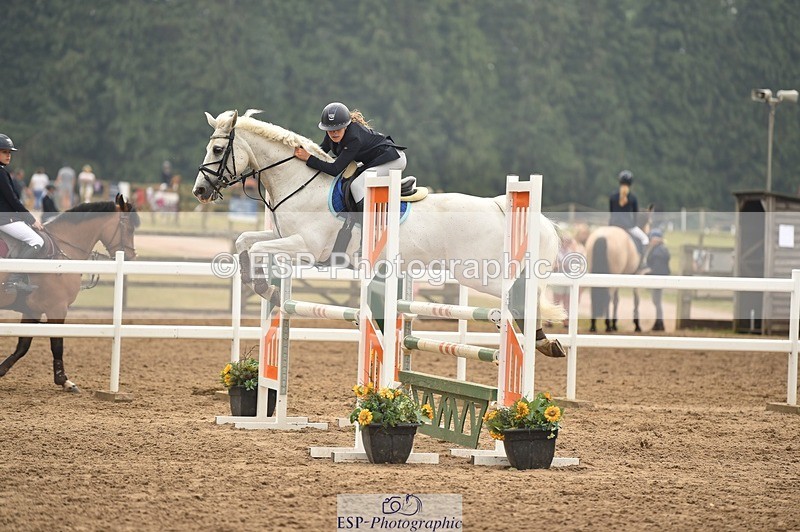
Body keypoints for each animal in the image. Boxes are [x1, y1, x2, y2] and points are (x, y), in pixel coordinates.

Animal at [0, 195, 139, 392]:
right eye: (129, 228)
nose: (131, 258)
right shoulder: (57, 308)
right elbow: (57, 344)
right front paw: (64, 380)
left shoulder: (32, 310)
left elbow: (23, 346)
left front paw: (0, 371)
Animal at [192, 109, 566, 358]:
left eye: (217, 150)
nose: (199, 191)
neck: (301, 183)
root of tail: (500, 205)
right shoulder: (284, 240)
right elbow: (244, 243)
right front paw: (260, 285)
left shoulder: (308, 249)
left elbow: (256, 253)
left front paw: (266, 288)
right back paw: (543, 341)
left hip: (479, 274)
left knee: (518, 298)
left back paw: (539, 340)